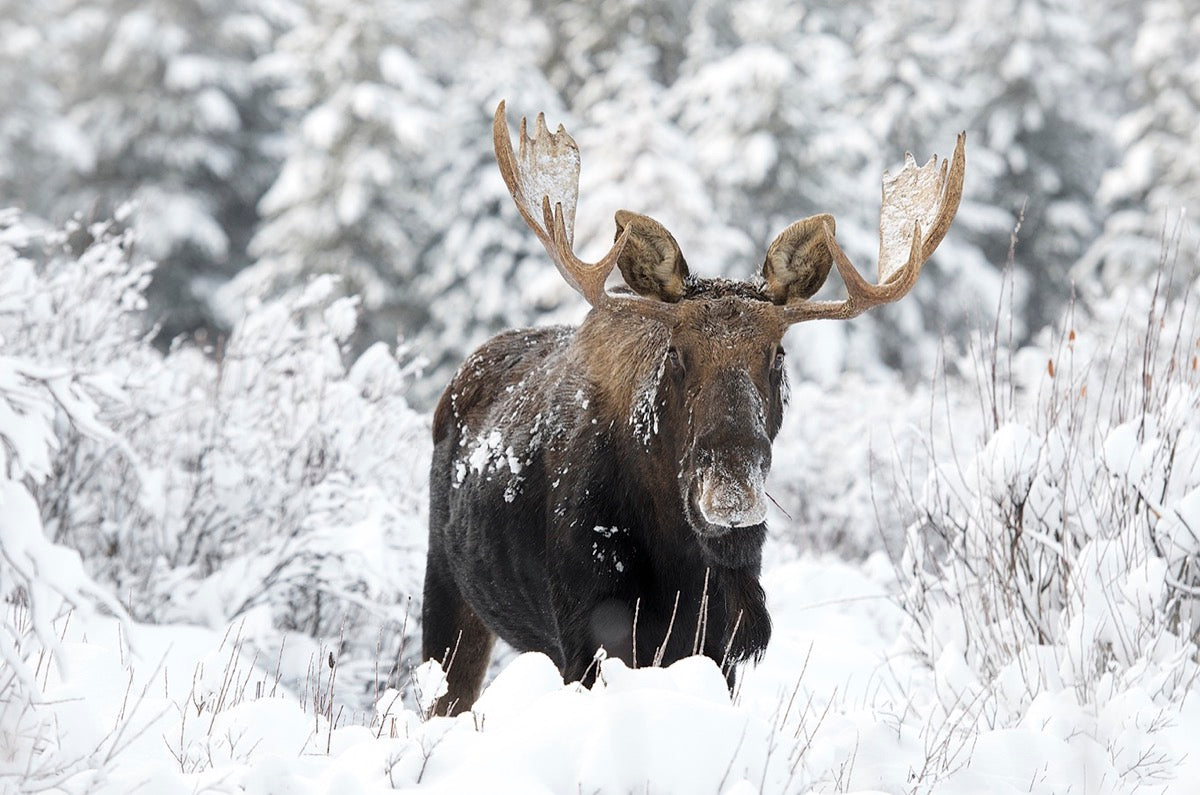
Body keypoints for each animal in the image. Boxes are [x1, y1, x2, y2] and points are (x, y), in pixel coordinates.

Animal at [421, 101, 965, 715]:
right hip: (447, 595)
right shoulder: (585, 631)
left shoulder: (720, 641)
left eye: (778, 353)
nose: (729, 490)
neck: (682, 557)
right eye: (677, 353)